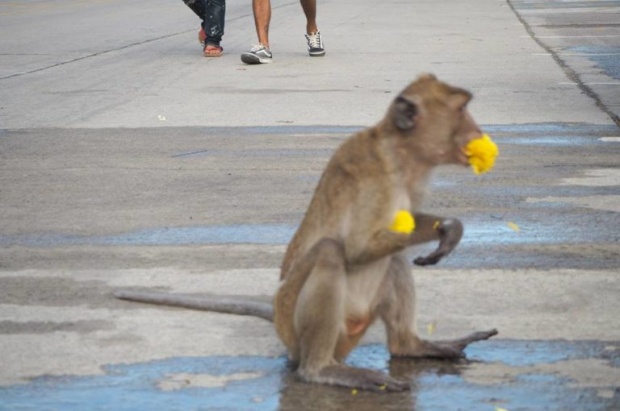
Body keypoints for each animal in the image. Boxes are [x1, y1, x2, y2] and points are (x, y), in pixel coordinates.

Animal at [116, 74, 498, 392]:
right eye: (461, 109)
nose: (477, 131)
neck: (402, 153)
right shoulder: (379, 179)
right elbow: (357, 247)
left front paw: (449, 228)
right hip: (299, 329)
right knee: (331, 252)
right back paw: (321, 370)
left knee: (392, 258)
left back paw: (409, 347)